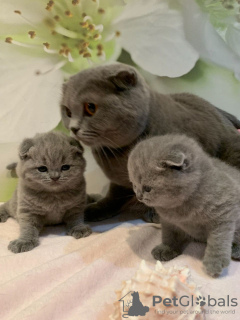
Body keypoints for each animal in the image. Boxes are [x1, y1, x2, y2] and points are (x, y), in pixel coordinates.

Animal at [60, 62, 240, 222]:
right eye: (67, 111)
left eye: (90, 107)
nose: (73, 128)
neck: (119, 156)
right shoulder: (119, 183)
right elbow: (113, 196)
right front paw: (96, 209)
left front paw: (157, 214)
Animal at [128, 134, 240, 276]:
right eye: (134, 185)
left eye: (147, 188)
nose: (139, 196)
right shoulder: (168, 222)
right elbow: (169, 235)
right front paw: (166, 249)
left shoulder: (225, 211)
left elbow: (218, 239)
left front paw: (214, 262)